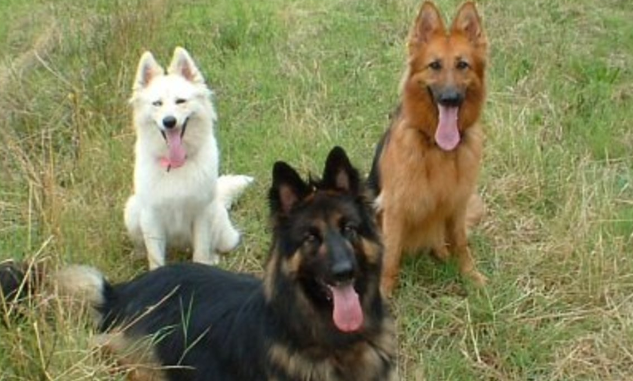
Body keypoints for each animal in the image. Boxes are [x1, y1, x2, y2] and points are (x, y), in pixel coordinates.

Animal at [123, 46, 252, 268]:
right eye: (157, 103)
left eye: (180, 101)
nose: (169, 121)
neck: (176, 165)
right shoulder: (151, 218)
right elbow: (155, 257)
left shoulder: (201, 214)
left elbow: (200, 250)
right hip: (132, 211)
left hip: (221, 227)